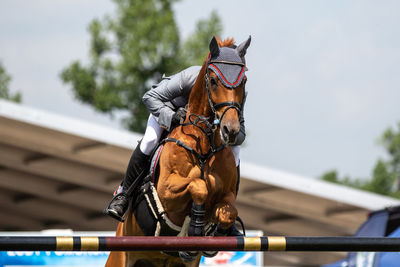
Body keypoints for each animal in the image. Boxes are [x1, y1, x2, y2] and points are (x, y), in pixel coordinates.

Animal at [106, 36, 250, 267]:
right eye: (213, 81)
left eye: (243, 81)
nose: (231, 130)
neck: (204, 144)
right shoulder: (167, 191)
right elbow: (198, 186)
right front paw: (195, 227)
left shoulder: (226, 195)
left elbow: (229, 212)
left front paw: (216, 234)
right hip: (120, 255)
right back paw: (118, 205)